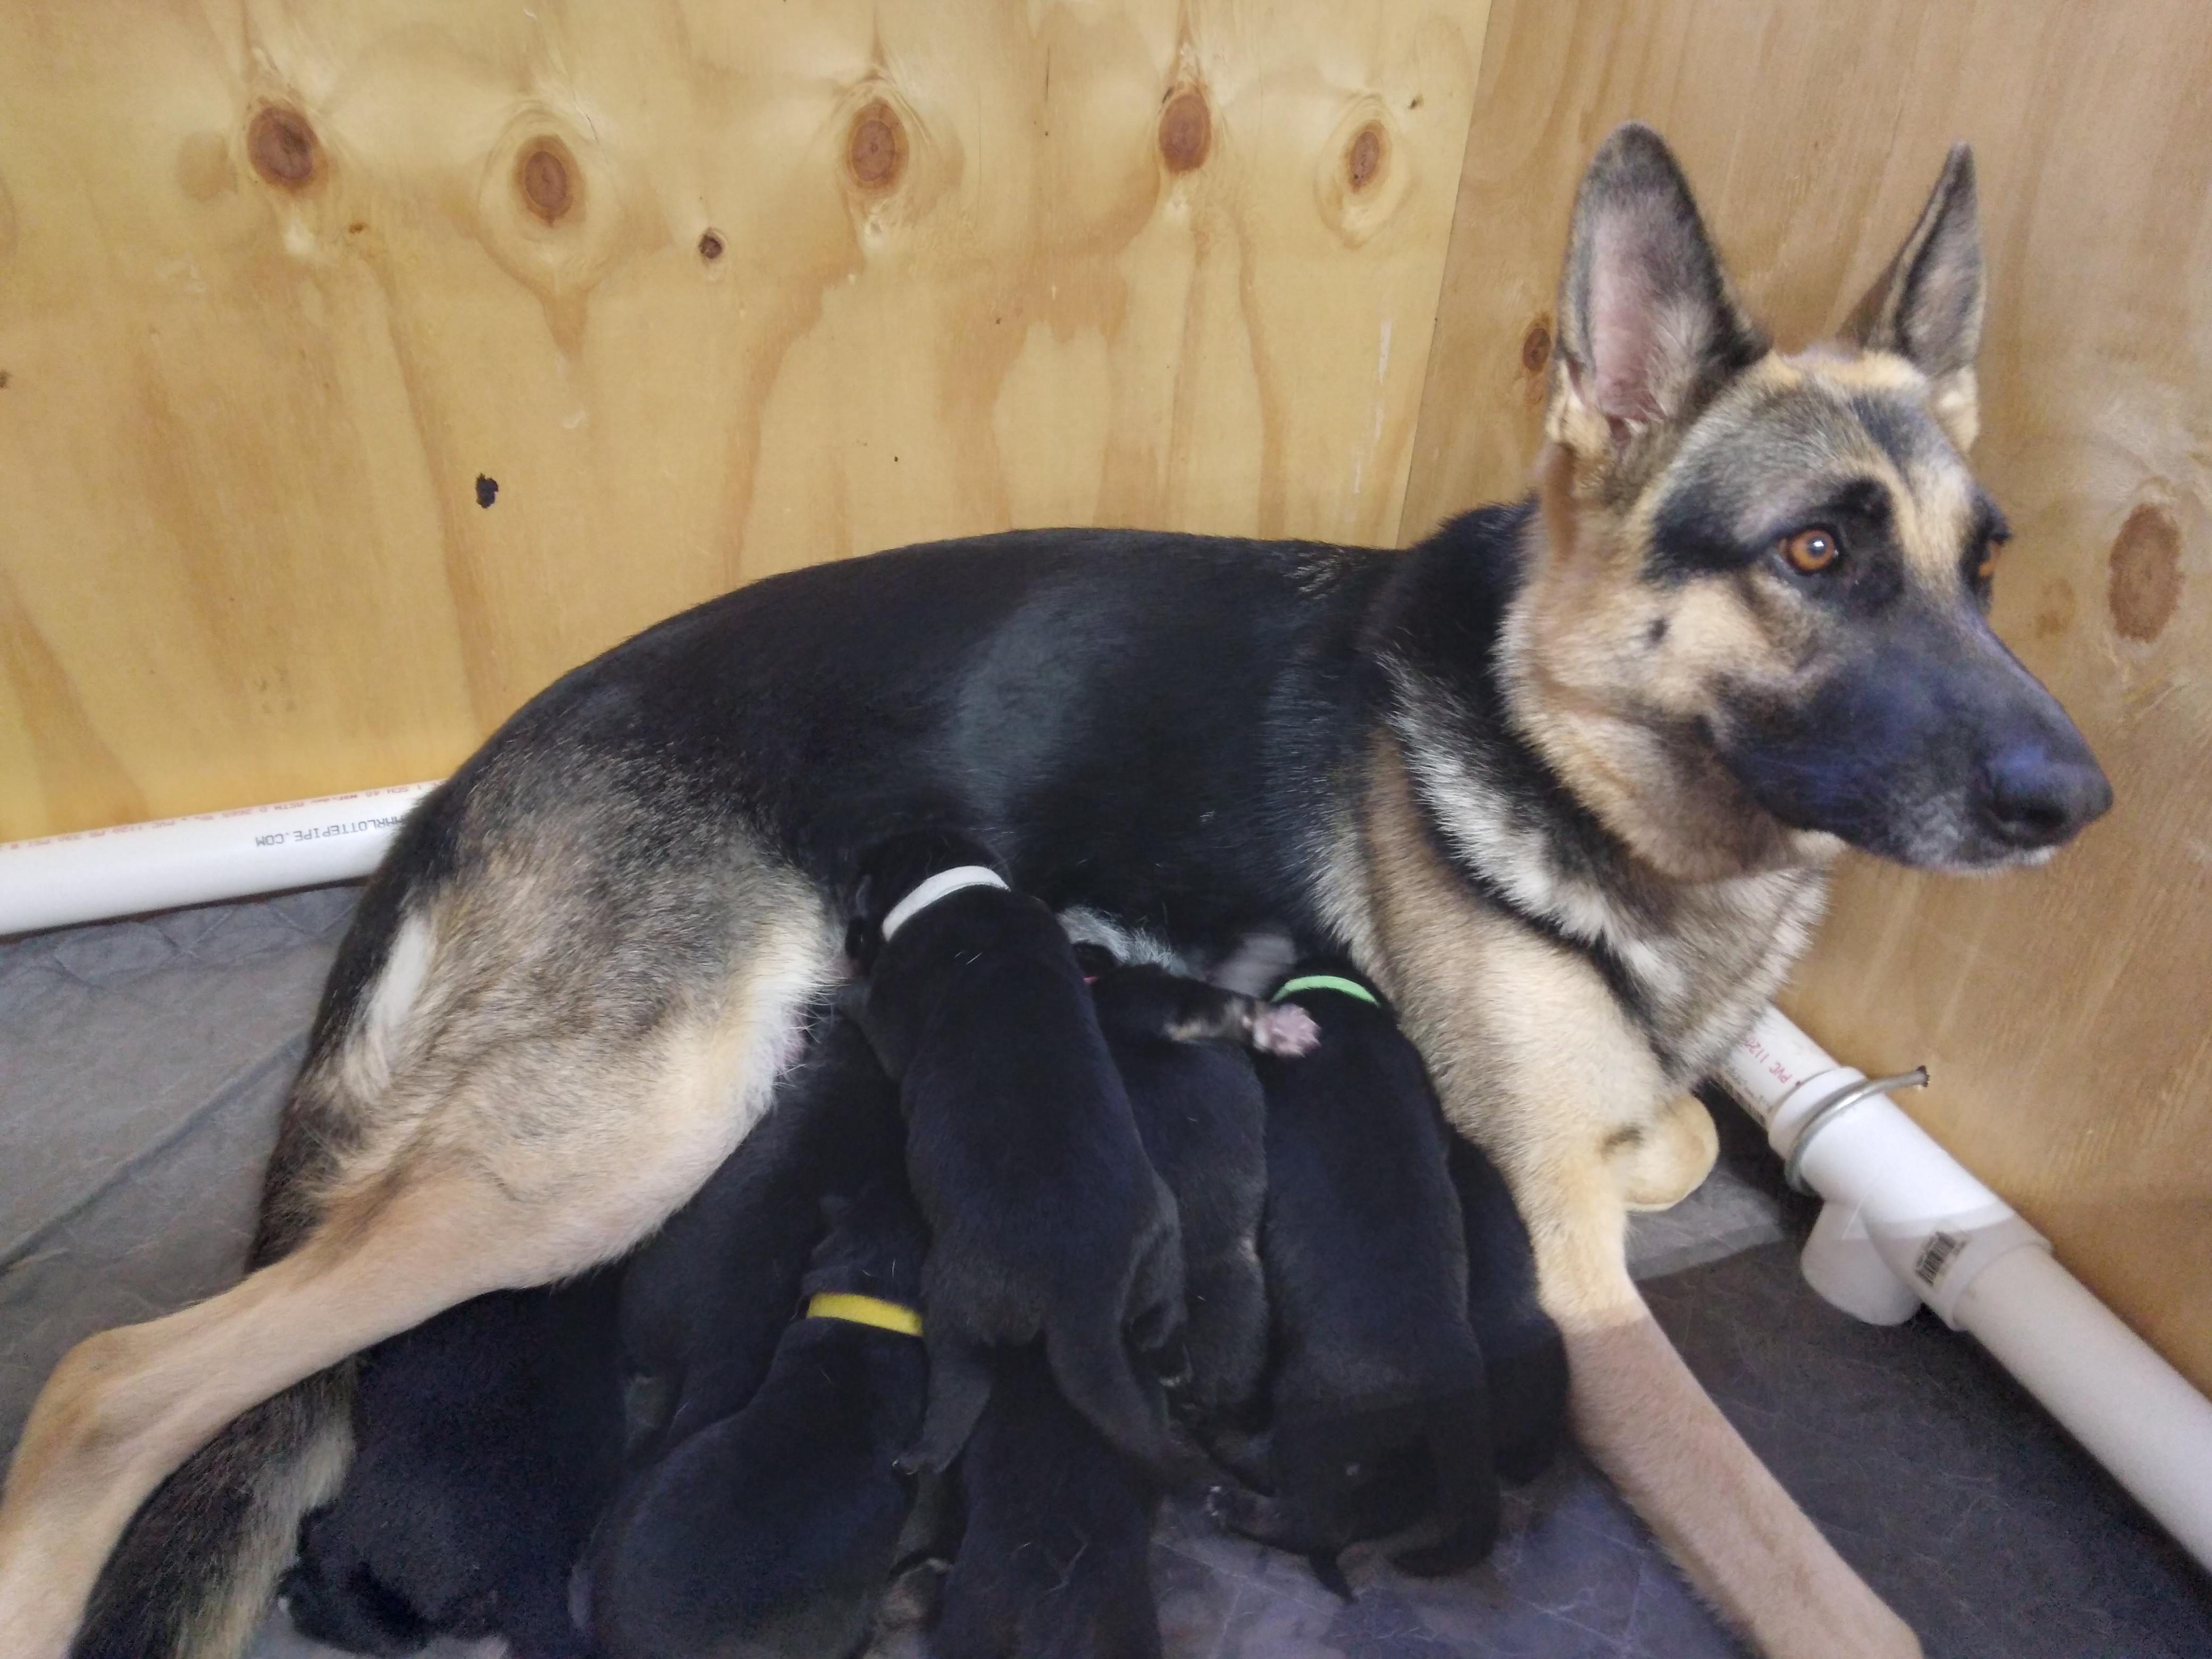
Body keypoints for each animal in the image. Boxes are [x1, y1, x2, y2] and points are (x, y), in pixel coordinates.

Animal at [844, 830, 1187, 1476]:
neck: (957, 887)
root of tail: (1086, 1291)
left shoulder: (893, 1012)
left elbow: (876, 1018)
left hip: (958, 1301)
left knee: (960, 1385)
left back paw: (921, 1454)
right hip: (1161, 1231)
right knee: (1164, 1306)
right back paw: (1171, 1354)